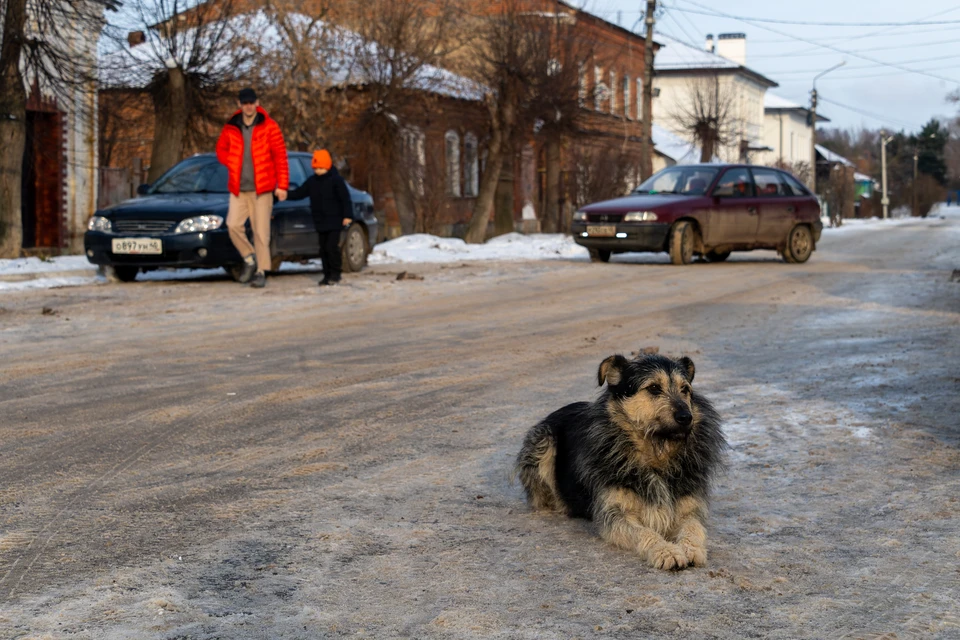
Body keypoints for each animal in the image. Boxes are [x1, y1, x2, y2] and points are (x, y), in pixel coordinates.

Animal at [516, 356, 728, 568]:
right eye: (653, 388)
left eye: (685, 389)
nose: (686, 417)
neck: (656, 456)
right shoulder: (615, 513)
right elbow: (644, 532)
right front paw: (666, 551)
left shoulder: (690, 508)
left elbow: (693, 527)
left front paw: (691, 549)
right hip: (542, 442)